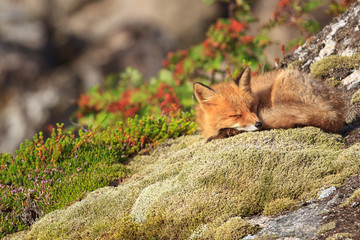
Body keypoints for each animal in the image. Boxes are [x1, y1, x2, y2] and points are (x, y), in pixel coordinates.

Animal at [194, 66, 346, 142]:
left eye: (252, 108)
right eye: (235, 115)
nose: (259, 124)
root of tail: (336, 110)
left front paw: (227, 132)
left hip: (281, 86)